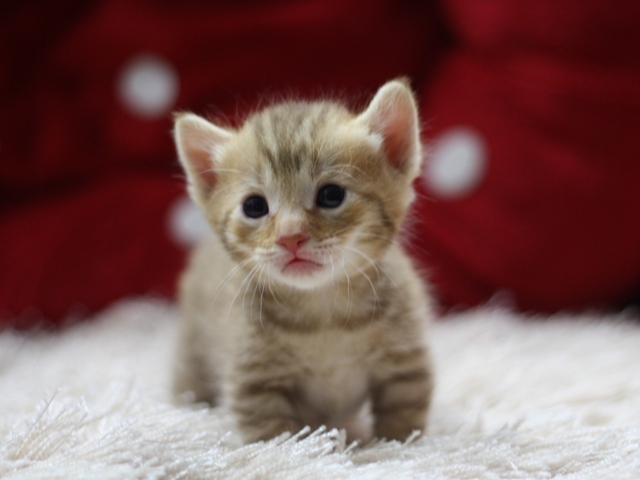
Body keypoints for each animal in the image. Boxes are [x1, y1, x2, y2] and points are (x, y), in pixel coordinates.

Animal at [172, 79, 436, 442]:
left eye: (331, 195)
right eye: (254, 206)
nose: (290, 236)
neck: (322, 314)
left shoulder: (404, 363)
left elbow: (403, 417)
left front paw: (398, 445)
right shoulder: (254, 381)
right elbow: (273, 435)